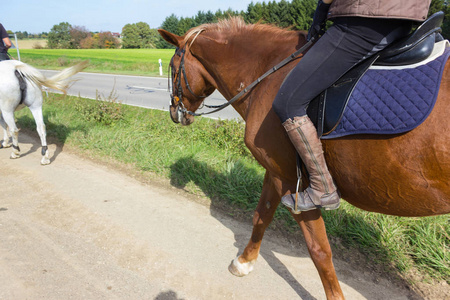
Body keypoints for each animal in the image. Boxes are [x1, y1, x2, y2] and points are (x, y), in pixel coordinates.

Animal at [158, 18, 450, 300]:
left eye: (172, 68)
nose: (174, 112)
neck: (266, 74)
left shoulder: (295, 184)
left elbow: (319, 248)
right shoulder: (276, 172)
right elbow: (261, 216)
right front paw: (244, 261)